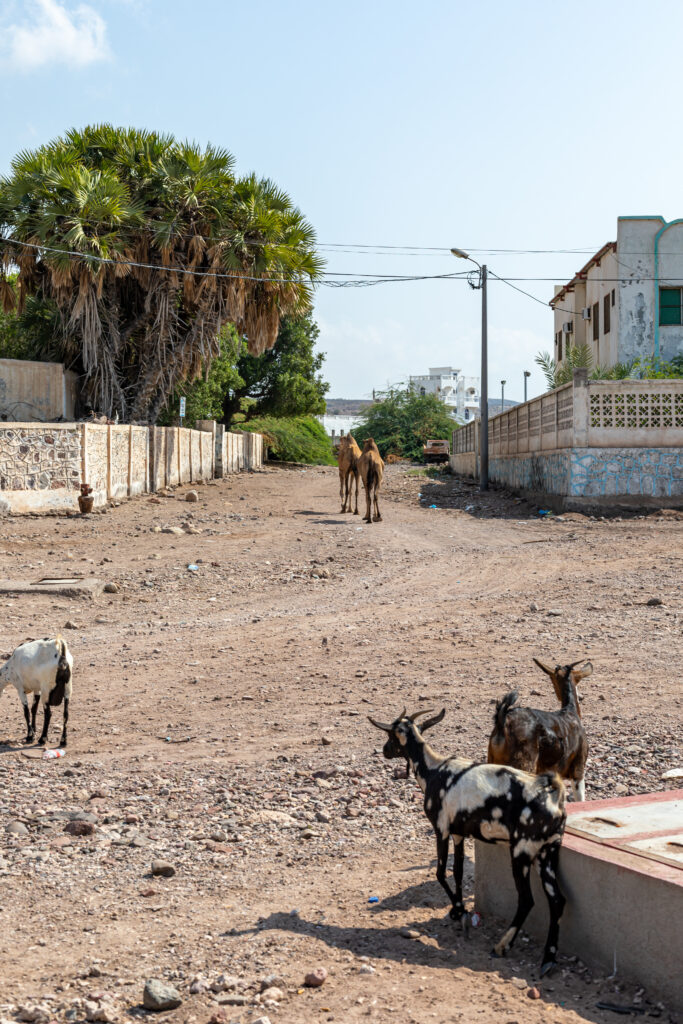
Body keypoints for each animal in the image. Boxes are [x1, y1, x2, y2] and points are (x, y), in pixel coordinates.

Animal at [370, 708, 569, 970]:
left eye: (391, 735)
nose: (384, 750)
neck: (434, 769)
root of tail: (552, 792)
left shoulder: (441, 829)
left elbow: (440, 872)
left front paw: (459, 911)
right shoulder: (458, 834)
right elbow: (458, 872)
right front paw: (458, 910)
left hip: (522, 851)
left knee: (527, 900)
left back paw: (502, 945)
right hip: (548, 851)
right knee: (557, 900)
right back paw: (548, 958)